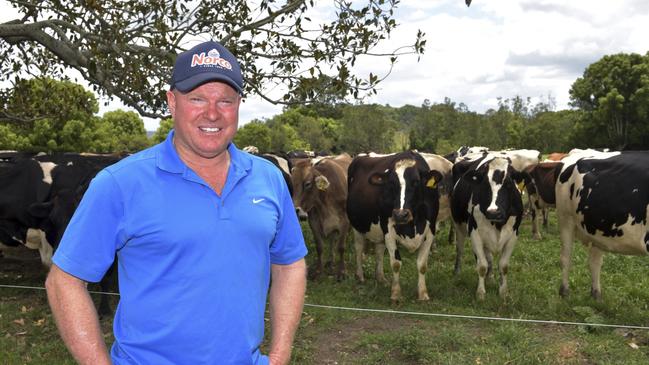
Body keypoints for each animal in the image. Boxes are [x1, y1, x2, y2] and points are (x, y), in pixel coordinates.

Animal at [288, 152, 350, 280]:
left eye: (307, 184)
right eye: (292, 183)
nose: (295, 210)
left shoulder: (345, 222)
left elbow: (341, 247)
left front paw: (342, 271)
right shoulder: (314, 222)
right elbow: (319, 247)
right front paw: (318, 270)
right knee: (332, 240)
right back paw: (330, 261)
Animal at [346, 151, 442, 302]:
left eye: (416, 182)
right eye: (391, 183)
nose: (400, 214)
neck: (414, 224)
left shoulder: (430, 230)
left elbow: (422, 265)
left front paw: (423, 294)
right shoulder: (388, 229)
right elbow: (396, 263)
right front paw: (396, 294)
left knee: (379, 250)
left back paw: (381, 278)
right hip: (357, 225)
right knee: (359, 247)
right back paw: (360, 276)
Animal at [454, 154, 524, 298]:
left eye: (509, 184)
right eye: (484, 184)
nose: (493, 212)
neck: (498, 223)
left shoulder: (513, 235)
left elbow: (503, 266)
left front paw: (503, 292)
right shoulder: (474, 233)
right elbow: (481, 265)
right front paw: (480, 293)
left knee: (489, 258)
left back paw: (490, 278)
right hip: (459, 225)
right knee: (460, 249)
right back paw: (457, 272)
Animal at [552, 148, 648, 298]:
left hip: (597, 229)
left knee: (595, 262)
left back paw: (596, 294)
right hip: (565, 219)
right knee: (566, 258)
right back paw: (564, 291)